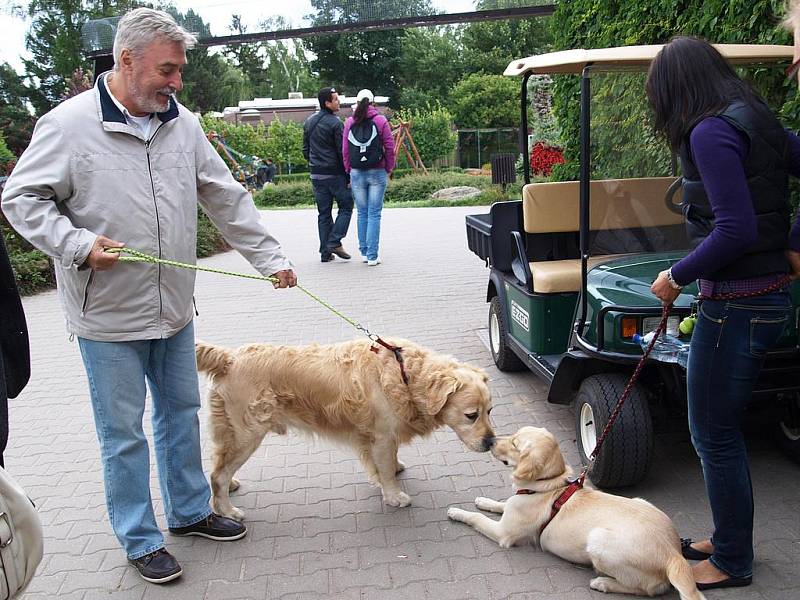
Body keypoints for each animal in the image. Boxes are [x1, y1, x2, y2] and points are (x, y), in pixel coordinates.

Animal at [195, 338, 494, 516]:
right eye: (471, 415)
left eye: (490, 412)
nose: (491, 442)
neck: (406, 376)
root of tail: (229, 358)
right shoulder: (381, 436)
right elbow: (386, 470)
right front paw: (394, 495)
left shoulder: (383, 435)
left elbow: (389, 461)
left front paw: (395, 468)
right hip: (248, 434)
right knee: (218, 475)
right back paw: (227, 510)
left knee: (220, 465)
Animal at [446, 426, 704, 600]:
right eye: (512, 436)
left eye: (516, 444)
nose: (490, 440)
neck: (548, 486)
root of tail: (674, 554)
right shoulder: (512, 508)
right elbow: (501, 503)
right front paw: (483, 500)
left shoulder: (503, 533)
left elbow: (477, 517)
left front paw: (457, 511)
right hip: (642, 502)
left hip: (598, 540)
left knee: (647, 589)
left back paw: (603, 583)